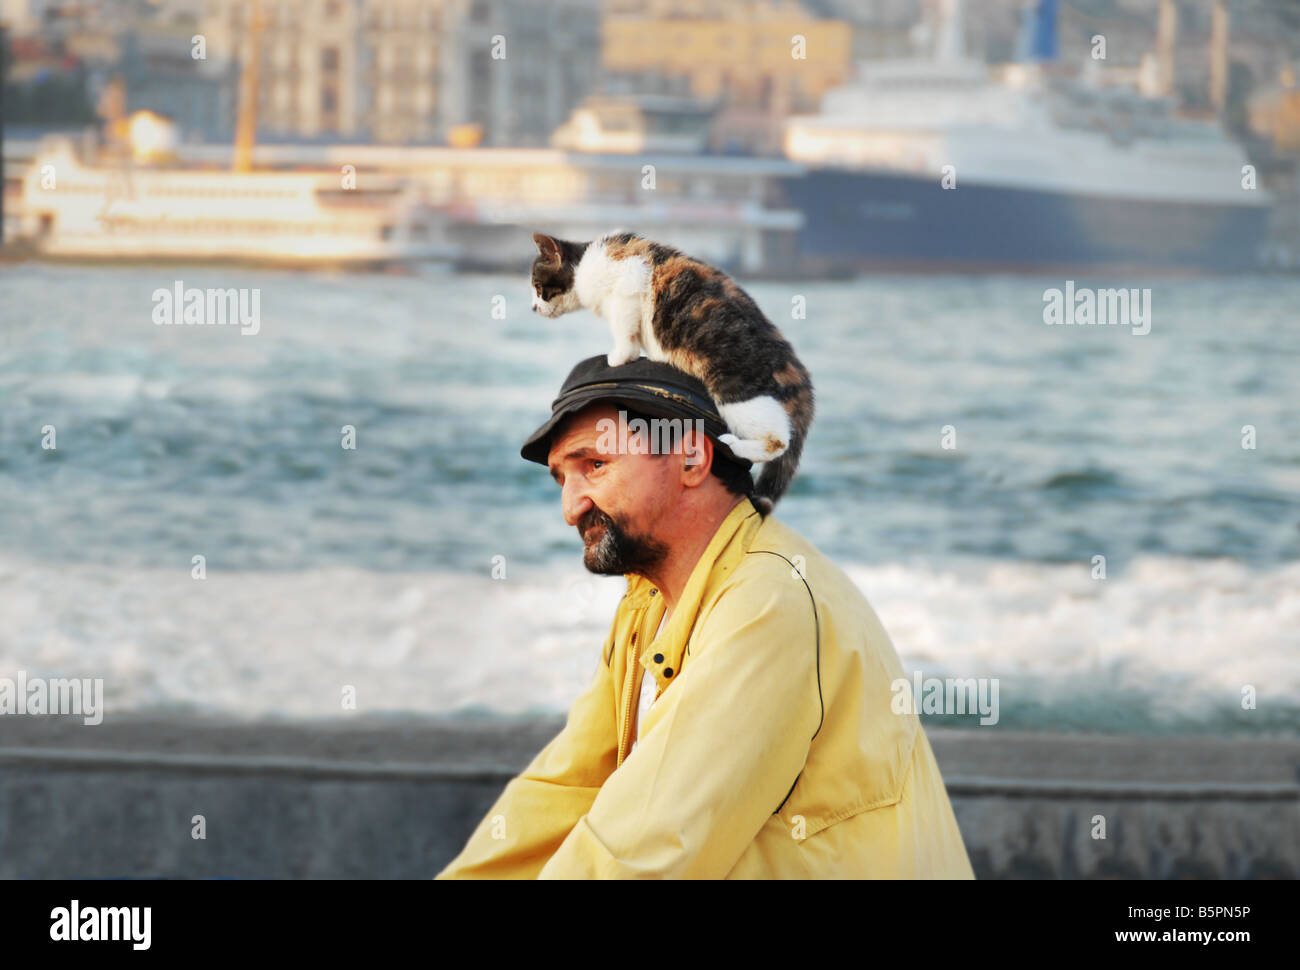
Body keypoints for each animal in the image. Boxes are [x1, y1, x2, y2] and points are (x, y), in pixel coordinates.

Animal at [527, 228, 811, 514]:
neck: (585, 263)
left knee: (779, 440)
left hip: (737, 393)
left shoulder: (629, 280)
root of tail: (795, 369)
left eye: (538, 288)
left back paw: (737, 445)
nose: (532, 307)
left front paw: (619, 357)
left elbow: (623, 327)